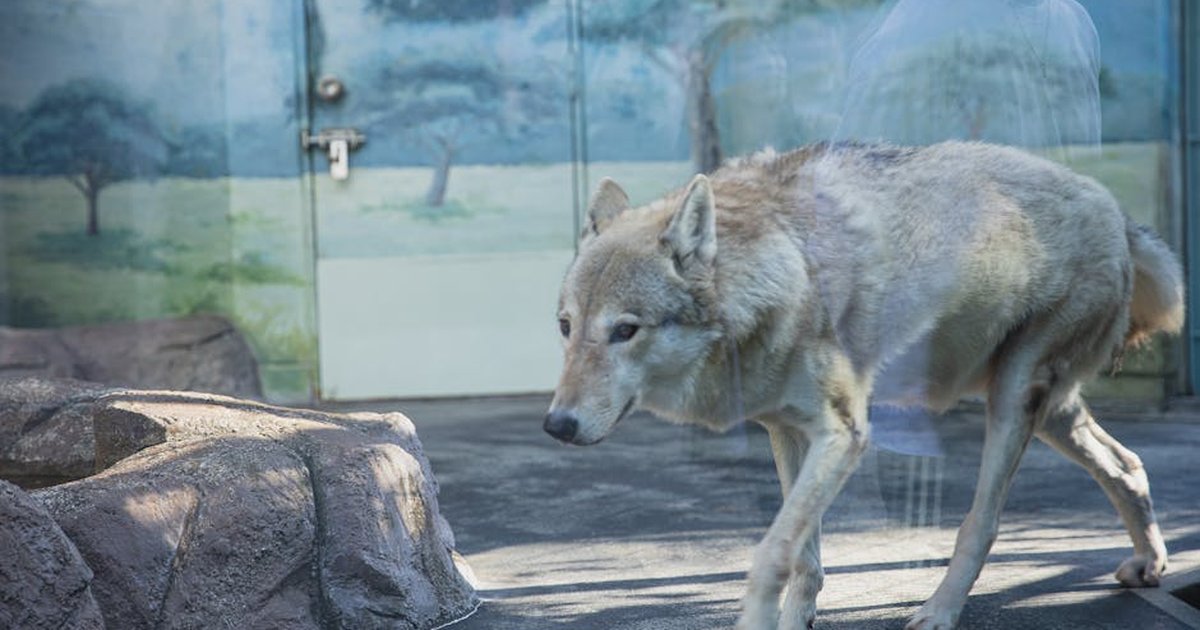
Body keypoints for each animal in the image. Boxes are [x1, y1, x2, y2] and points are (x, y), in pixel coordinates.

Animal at [544, 141, 1184, 630]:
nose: (556, 425)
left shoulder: (844, 434)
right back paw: (1148, 564)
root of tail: (1115, 207)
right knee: (1126, 464)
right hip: (1048, 410)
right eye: (566, 327)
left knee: (982, 523)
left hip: (1011, 401)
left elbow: (771, 552)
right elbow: (803, 556)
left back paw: (938, 612)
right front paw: (795, 620)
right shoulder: (788, 432)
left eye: (625, 330)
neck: (786, 268)